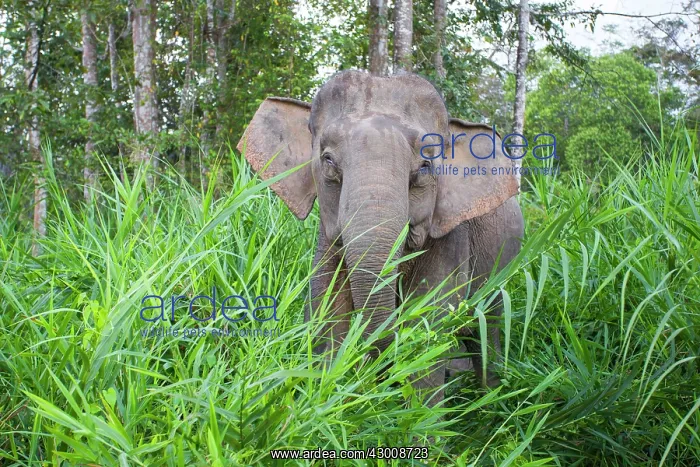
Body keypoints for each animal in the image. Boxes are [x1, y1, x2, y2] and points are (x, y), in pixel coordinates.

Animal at [237, 70, 524, 402]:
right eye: (328, 160)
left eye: (425, 166)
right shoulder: (327, 241)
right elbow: (327, 312)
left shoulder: (451, 237)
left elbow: (427, 318)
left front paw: (420, 414)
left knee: (489, 329)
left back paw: (491, 395)